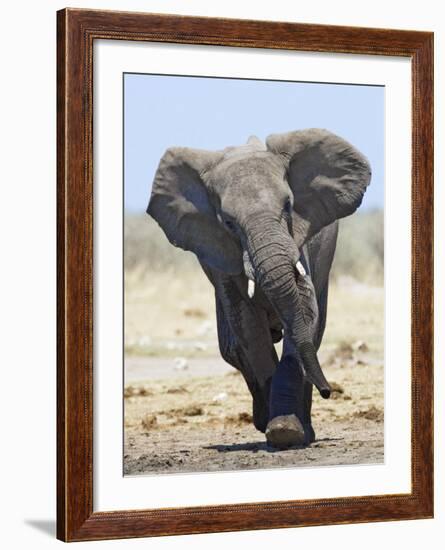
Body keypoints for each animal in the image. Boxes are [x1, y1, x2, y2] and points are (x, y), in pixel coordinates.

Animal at [147, 130, 372, 452]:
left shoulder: (300, 240)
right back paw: (265, 418)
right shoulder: (219, 251)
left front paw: (287, 432)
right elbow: (248, 327)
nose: (329, 391)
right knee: (231, 347)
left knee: (314, 333)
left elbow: (306, 312)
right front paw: (278, 429)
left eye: (288, 206)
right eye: (228, 222)